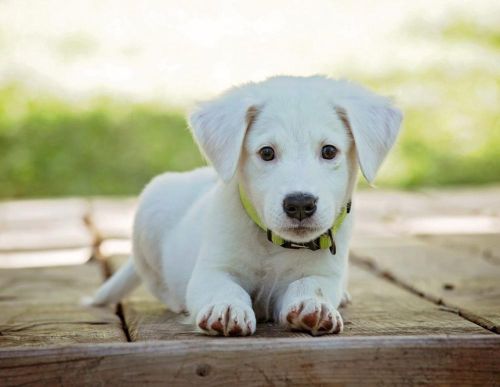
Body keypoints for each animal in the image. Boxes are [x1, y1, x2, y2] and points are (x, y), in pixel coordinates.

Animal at [93, 75, 402, 336]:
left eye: (329, 151)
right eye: (266, 153)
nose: (300, 204)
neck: (274, 245)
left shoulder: (324, 273)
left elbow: (311, 285)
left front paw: (313, 305)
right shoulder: (212, 270)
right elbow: (225, 287)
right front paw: (227, 308)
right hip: (150, 212)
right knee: (158, 284)